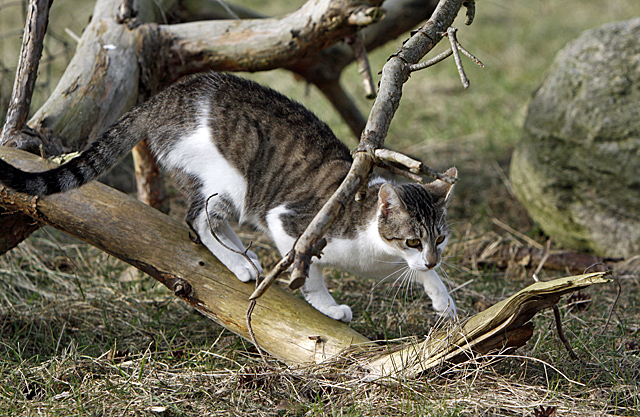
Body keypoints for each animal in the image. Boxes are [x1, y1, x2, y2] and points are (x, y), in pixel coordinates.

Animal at [1, 72, 460, 322]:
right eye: (412, 240)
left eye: (440, 239)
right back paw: (240, 264)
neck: (375, 251)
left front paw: (442, 298)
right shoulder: (289, 221)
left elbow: (423, 276)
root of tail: (164, 97)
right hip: (230, 178)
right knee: (198, 219)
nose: (430, 257)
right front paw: (328, 308)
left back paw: (246, 257)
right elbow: (308, 270)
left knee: (209, 219)